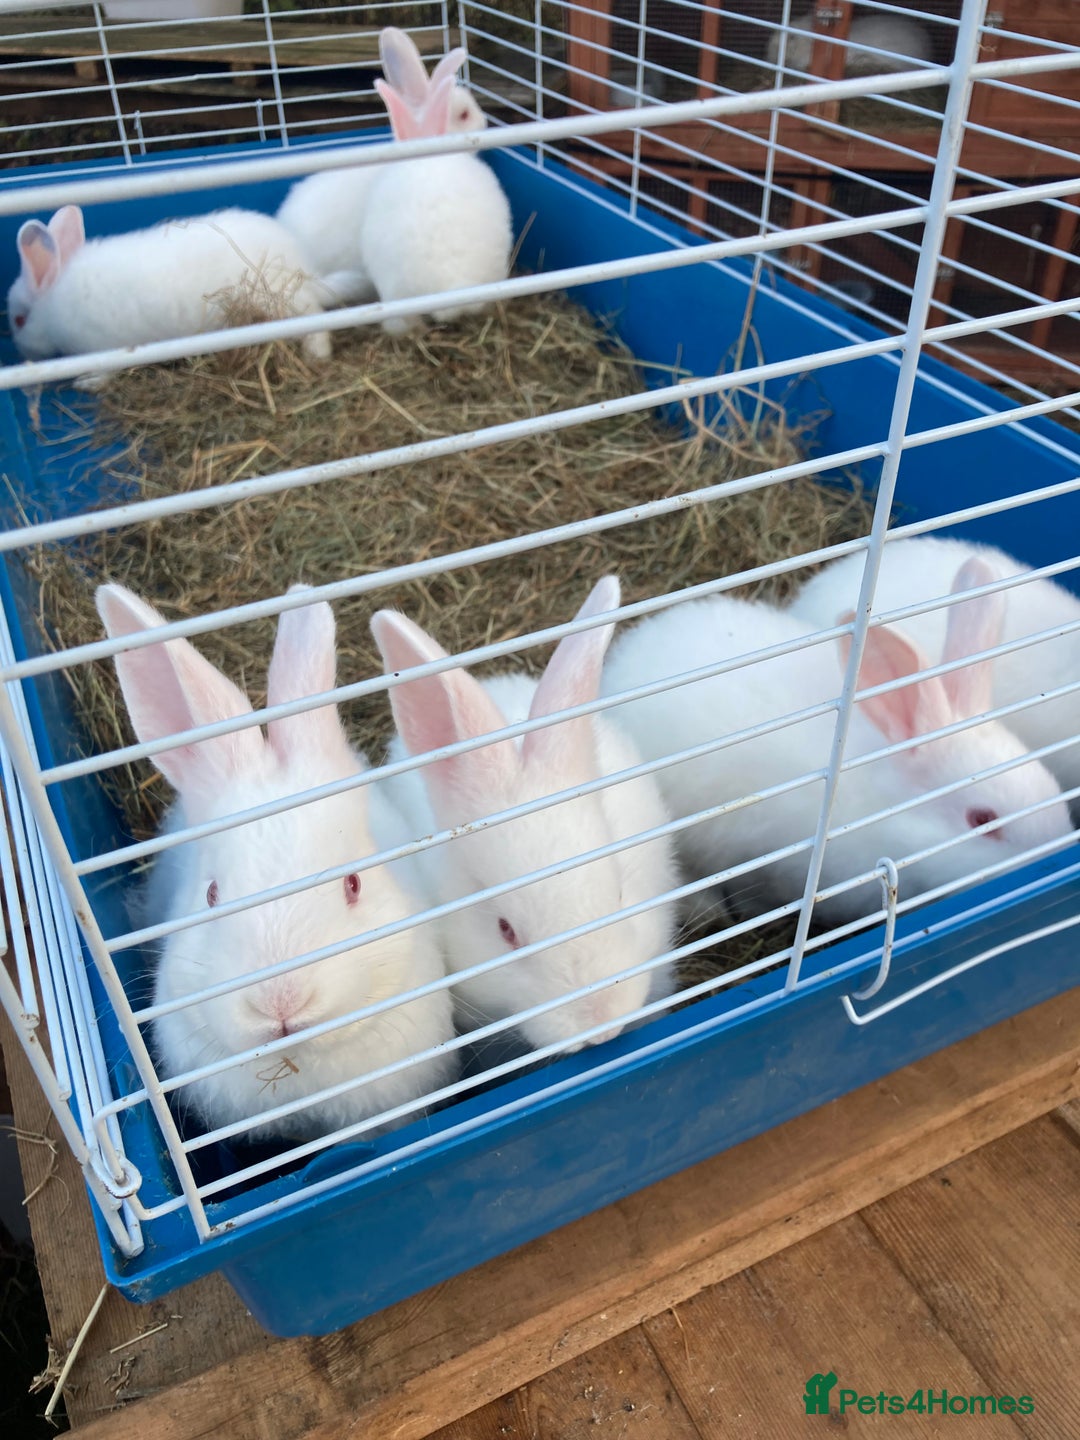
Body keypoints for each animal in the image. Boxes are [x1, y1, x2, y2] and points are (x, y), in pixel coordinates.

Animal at [8, 204, 333, 369]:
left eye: (20, 320)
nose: (22, 352)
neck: (54, 302)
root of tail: (305, 264)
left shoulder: (104, 348)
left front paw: (86, 383)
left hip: (286, 305)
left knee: (315, 322)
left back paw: (317, 356)